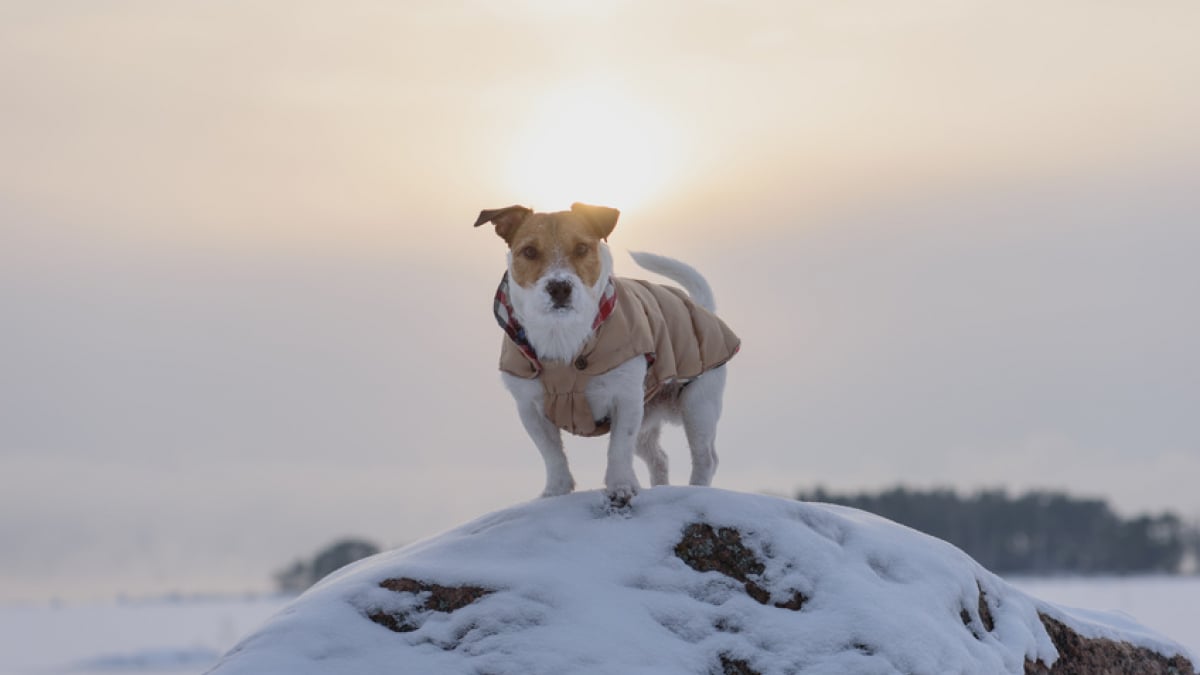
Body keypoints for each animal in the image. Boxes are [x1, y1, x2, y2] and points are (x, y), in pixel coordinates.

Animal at [470, 201, 734, 502]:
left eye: (582, 248)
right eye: (529, 252)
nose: (559, 287)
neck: (562, 334)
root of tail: (702, 308)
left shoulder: (626, 399)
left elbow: (618, 449)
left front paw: (621, 486)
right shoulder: (530, 408)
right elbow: (552, 455)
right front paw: (555, 491)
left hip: (697, 405)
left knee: (705, 458)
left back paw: (696, 489)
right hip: (648, 416)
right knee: (659, 458)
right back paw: (661, 488)